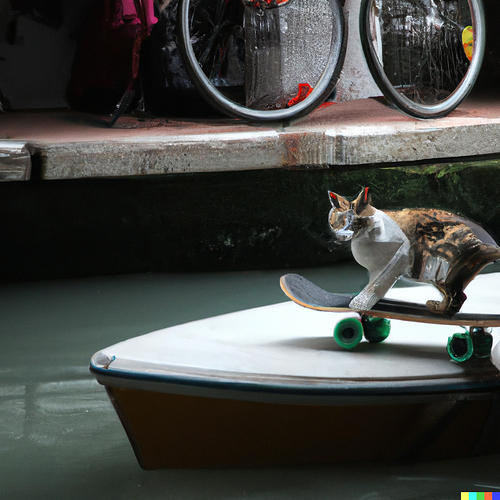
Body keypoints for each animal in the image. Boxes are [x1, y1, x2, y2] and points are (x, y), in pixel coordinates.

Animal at [328, 188, 500, 316]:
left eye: (351, 222)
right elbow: (374, 282)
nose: (338, 235)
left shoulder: (399, 258)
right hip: (441, 276)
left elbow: (378, 283)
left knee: (457, 297)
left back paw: (442, 310)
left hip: (443, 269)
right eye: (335, 223)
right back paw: (439, 307)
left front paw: (362, 302)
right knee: (458, 295)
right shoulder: (377, 267)